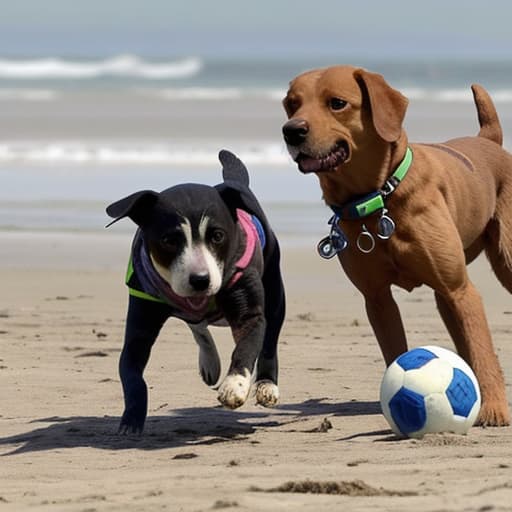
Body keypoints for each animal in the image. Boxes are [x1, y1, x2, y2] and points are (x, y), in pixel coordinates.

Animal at [106, 150, 286, 434]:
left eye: (218, 235)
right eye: (169, 240)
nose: (200, 279)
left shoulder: (249, 308)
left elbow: (247, 345)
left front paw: (235, 386)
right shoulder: (141, 316)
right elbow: (131, 371)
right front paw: (131, 418)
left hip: (275, 289)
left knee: (269, 340)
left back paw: (267, 384)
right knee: (197, 326)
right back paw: (210, 361)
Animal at [284, 65, 512, 428]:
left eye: (337, 103)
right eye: (292, 104)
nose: (291, 131)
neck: (377, 198)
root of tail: (488, 140)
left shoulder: (462, 289)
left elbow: (482, 348)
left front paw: (493, 409)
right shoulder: (377, 299)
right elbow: (395, 352)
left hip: (504, 261)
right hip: (445, 296)